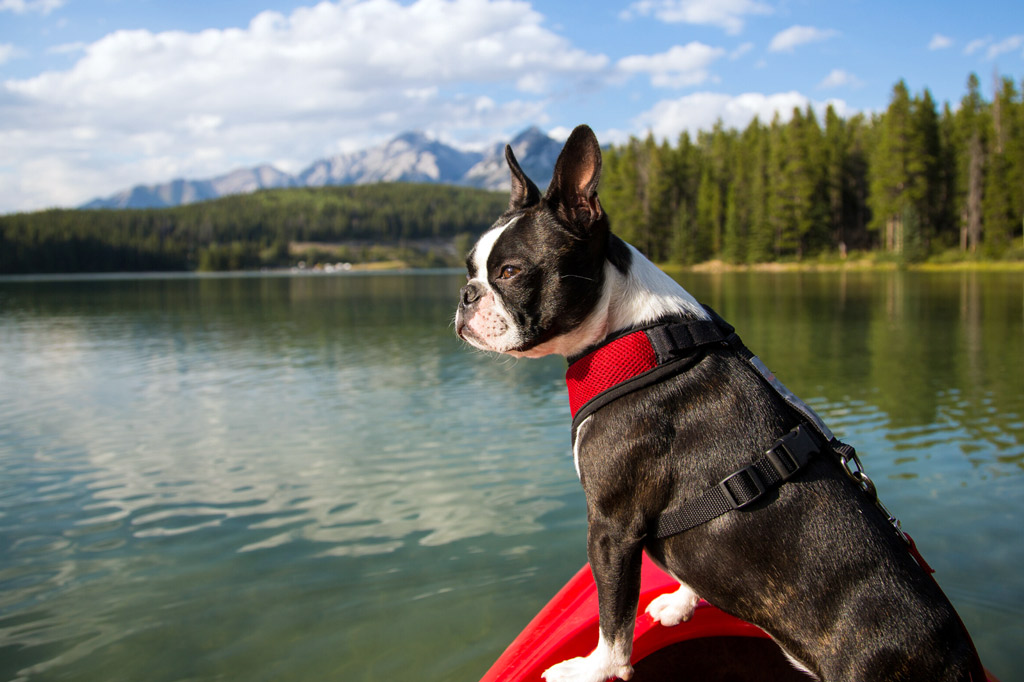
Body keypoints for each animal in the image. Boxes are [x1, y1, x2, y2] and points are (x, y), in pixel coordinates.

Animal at [458, 124, 983, 675]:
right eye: (469, 268)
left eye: (510, 272)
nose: (467, 294)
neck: (633, 332)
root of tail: (959, 661)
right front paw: (681, 602)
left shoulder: (611, 527)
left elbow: (614, 621)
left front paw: (592, 669)